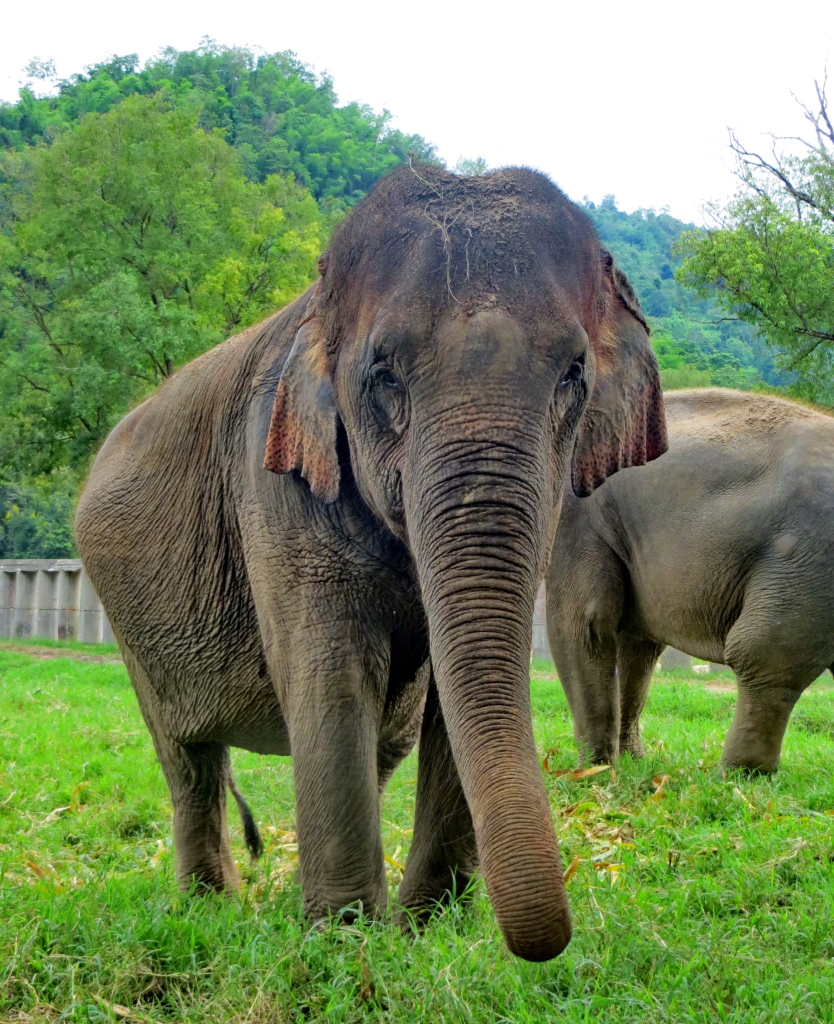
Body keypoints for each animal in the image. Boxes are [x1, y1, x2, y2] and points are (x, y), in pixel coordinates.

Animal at [75, 163, 668, 962]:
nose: (544, 944)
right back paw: (210, 910)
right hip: (130, 618)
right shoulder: (275, 483)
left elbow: (453, 688)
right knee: (188, 759)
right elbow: (333, 676)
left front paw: (420, 933)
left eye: (575, 373)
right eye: (384, 375)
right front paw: (344, 944)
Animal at [545, 387, 834, 770]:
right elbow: (635, 643)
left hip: (807, 553)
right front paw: (630, 762)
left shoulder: (578, 513)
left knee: (765, 652)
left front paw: (596, 770)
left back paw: (738, 775)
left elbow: (582, 624)